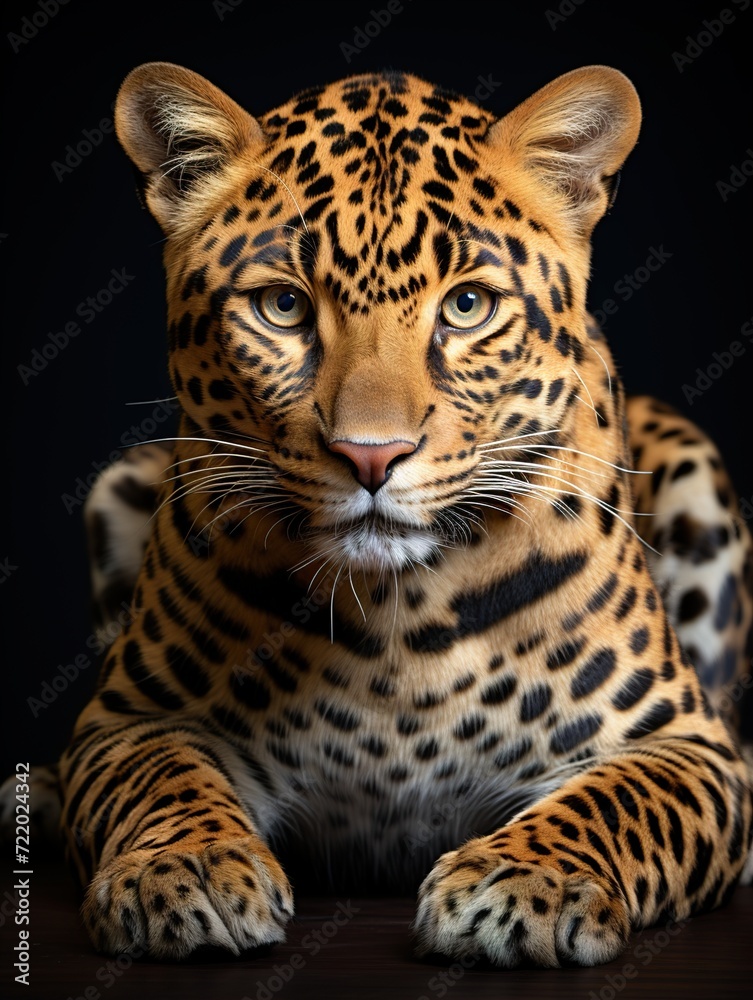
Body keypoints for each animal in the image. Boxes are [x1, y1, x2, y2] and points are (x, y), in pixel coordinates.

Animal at [13, 62, 753, 966]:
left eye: (467, 307)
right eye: (283, 308)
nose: (371, 455)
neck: (397, 623)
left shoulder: (683, 745)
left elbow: (613, 803)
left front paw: (524, 882)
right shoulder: (132, 719)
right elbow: (163, 784)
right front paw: (182, 868)